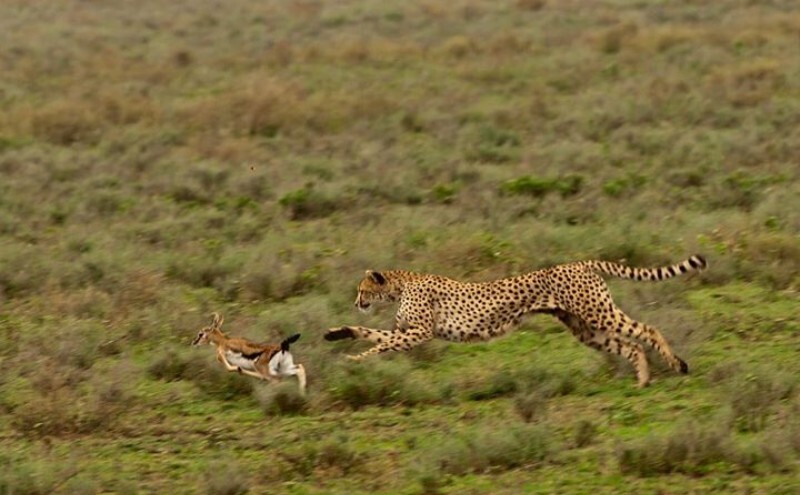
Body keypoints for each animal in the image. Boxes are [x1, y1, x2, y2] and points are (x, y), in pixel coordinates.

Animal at [324, 255, 707, 388]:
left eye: (362, 290)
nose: (357, 301)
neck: (401, 284)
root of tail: (579, 262)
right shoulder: (406, 330)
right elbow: (371, 334)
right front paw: (336, 335)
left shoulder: (419, 333)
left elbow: (382, 344)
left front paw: (353, 361)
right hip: (584, 328)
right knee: (629, 346)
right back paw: (642, 379)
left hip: (597, 312)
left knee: (647, 329)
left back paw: (678, 364)